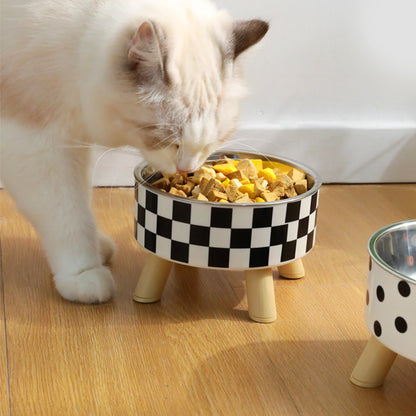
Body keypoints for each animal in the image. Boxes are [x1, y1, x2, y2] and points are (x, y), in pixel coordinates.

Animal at [0, 0, 268, 302]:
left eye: (214, 141)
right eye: (170, 141)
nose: (186, 169)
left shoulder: (74, 140)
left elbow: (82, 201)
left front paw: (97, 246)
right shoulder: (37, 143)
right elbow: (67, 215)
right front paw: (84, 273)